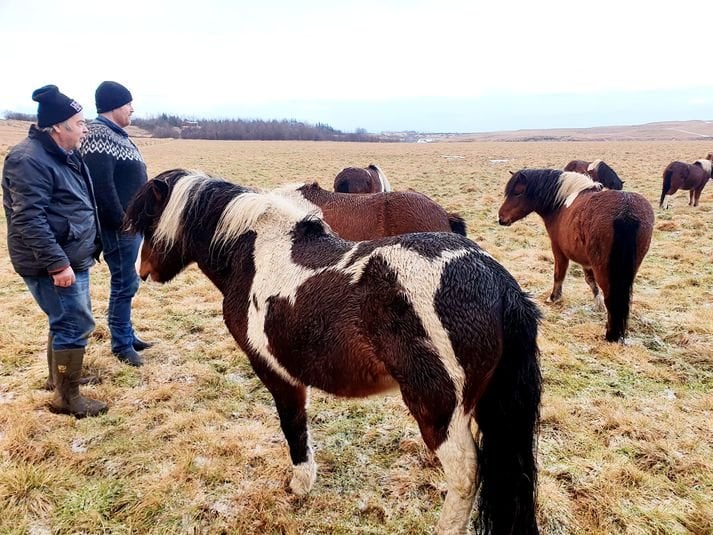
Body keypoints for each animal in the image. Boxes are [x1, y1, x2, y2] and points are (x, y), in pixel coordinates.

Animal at [498, 169, 654, 342]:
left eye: (517, 192)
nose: (501, 218)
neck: (561, 203)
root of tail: (625, 211)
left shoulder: (558, 250)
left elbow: (559, 275)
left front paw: (553, 298)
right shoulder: (586, 261)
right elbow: (590, 282)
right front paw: (598, 305)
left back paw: (610, 335)